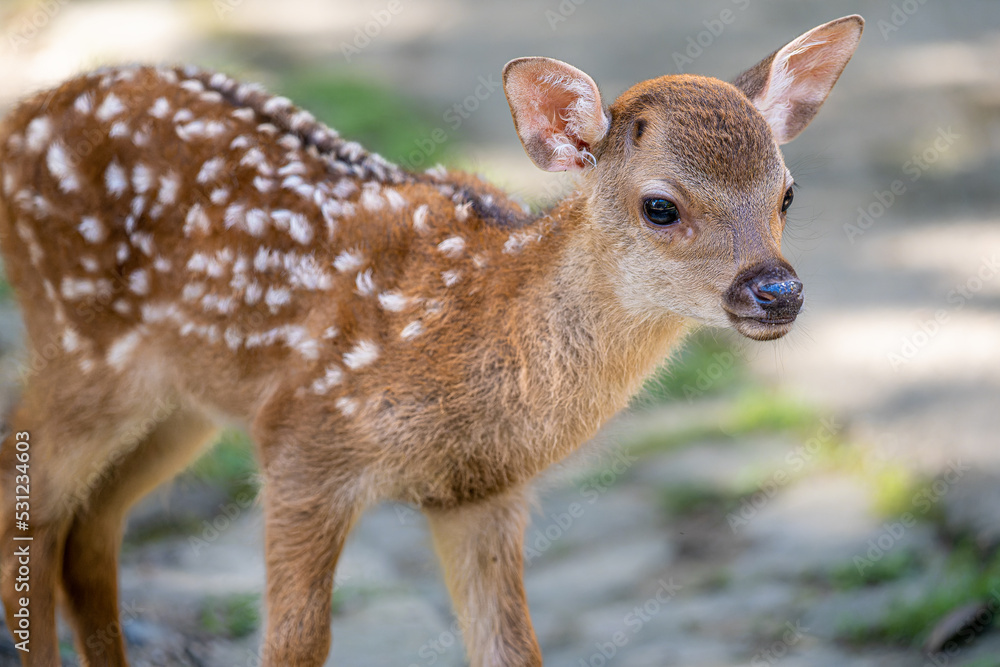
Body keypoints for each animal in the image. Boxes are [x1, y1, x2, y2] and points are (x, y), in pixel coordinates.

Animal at [0, 14, 863, 667]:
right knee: (31, 502)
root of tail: (22, 116)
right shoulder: (303, 442)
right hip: (81, 343)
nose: (776, 291)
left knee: (91, 525)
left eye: (787, 192)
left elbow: (512, 650)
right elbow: (295, 644)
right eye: (661, 206)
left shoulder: (481, 493)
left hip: (187, 398)